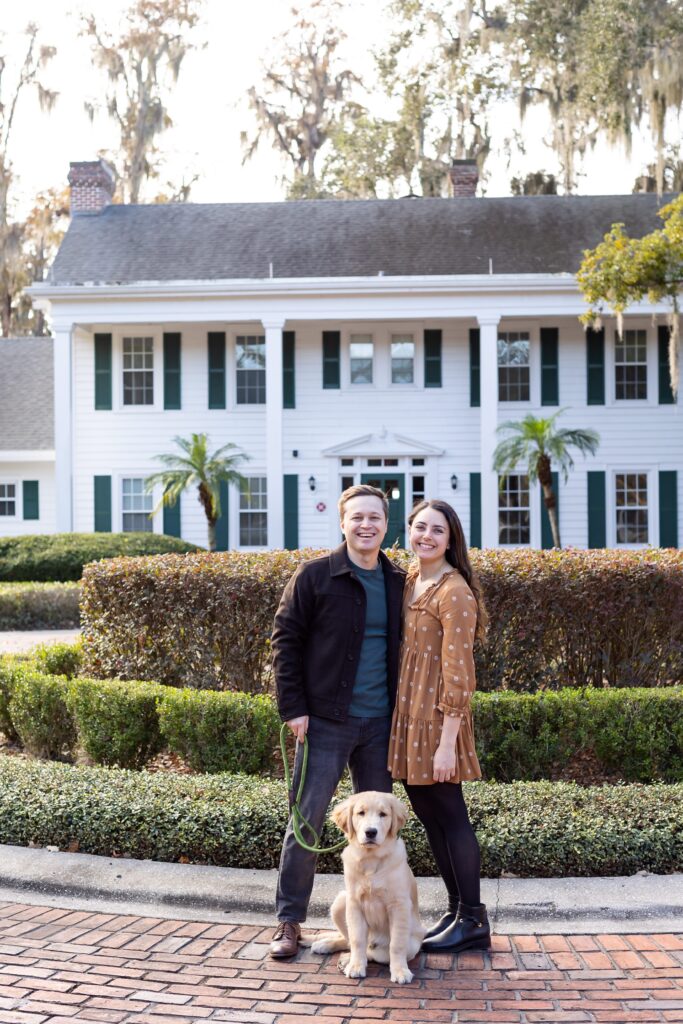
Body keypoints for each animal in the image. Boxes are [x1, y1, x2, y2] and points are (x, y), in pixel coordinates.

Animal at [313, 790, 423, 983]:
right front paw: (356, 966)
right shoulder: (354, 903)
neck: (371, 859)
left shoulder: (399, 905)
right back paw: (330, 947)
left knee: (377, 953)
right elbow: (357, 939)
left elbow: (397, 944)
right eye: (361, 813)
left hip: (412, 942)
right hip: (340, 902)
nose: (371, 832)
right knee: (349, 941)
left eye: (383, 814)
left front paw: (400, 971)